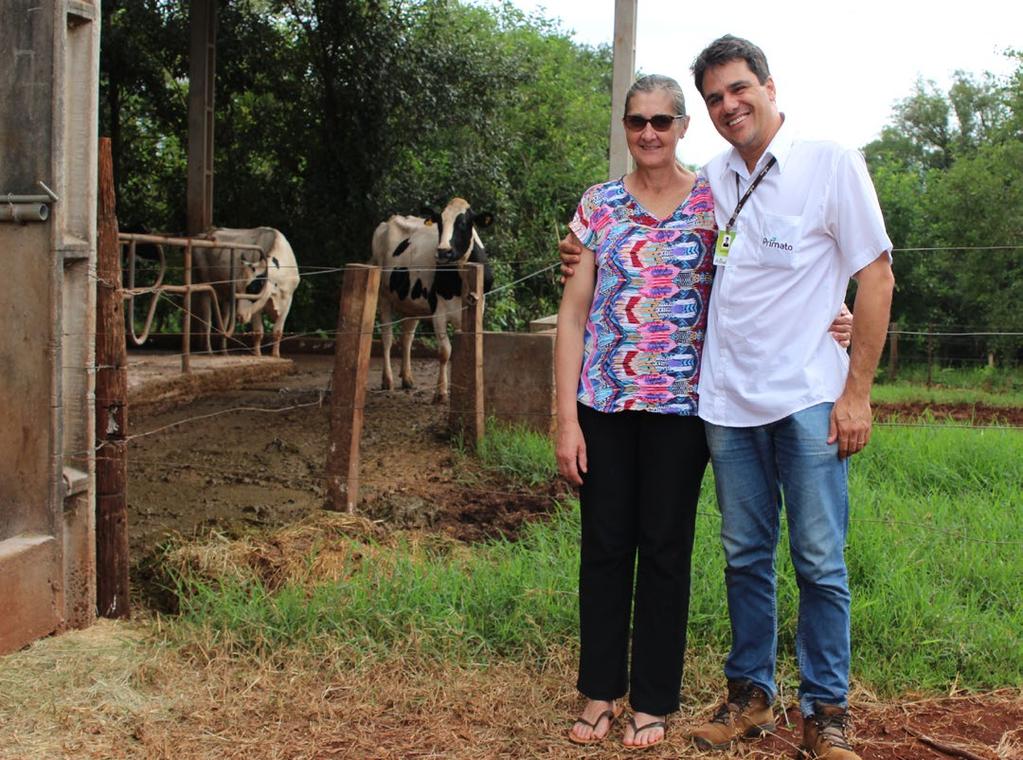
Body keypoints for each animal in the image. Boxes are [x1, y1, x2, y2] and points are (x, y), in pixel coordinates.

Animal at [193, 226, 298, 360]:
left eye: (253, 288)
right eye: (238, 288)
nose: (239, 316)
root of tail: (203, 234)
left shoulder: (287, 300)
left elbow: (278, 332)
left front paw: (275, 356)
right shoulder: (256, 307)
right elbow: (258, 332)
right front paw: (257, 355)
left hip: (226, 295)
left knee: (224, 322)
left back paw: (223, 351)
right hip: (204, 286)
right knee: (207, 321)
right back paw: (209, 351)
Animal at [370, 197, 493, 405]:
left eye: (463, 223)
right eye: (440, 223)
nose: (443, 252)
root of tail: (390, 220)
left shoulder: (477, 307)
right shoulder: (439, 311)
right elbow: (445, 351)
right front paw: (441, 393)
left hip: (411, 304)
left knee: (407, 337)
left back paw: (407, 378)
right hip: (383, 296)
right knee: (387, 337)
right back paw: (388, 380)